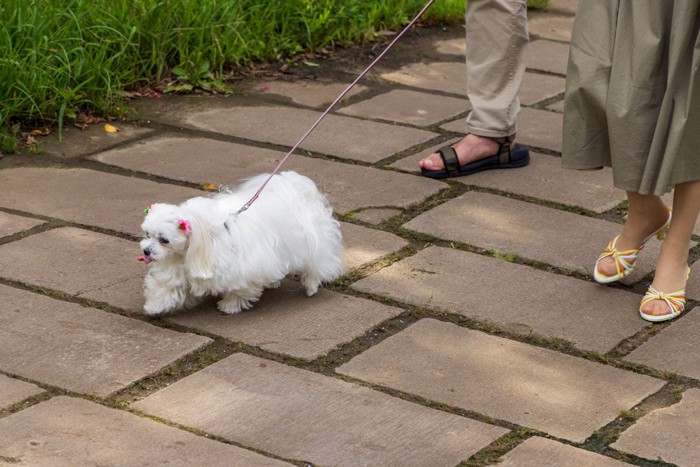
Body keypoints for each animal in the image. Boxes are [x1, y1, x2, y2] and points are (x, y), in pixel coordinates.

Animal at [137, 172, 344, 318]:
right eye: (147, 234)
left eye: (164, 240)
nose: (146, 251)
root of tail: (292, 187)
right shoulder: (177, 265)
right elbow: (167, 288)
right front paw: (153, 307)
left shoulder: (241, 268)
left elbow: (238, 289)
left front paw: (229, 306)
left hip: (315, 241)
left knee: (317, 264)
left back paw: (311, 286)